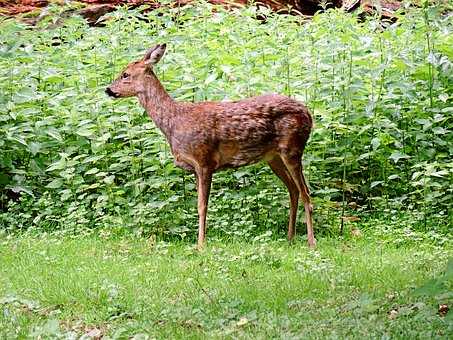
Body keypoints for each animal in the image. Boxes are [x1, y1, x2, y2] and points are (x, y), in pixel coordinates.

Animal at [105, 43, 314, 248]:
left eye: (125, 74)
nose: (107, 89)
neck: (175, 122)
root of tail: (309, 114)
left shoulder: (204, 160)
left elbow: (202, 206)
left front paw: (201, 245)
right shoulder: (195, 168)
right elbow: (198, 205)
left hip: (292, 149)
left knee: (306, 193)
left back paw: (311, 243)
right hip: (273, 157)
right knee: (293, 190)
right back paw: (290, 238)